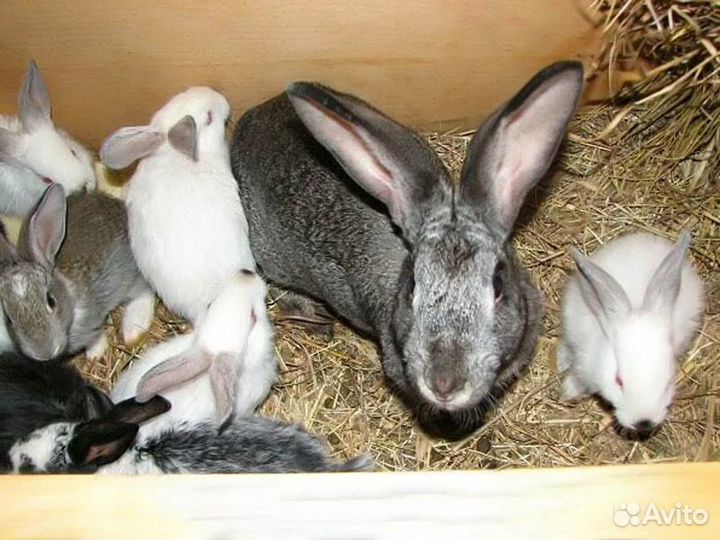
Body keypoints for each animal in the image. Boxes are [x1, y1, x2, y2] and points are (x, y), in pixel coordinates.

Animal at [0, 183, 155, 361]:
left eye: (51, 300)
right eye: (8, 319)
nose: (44, 354)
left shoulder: (93, 318)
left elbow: (95, 337)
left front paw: (95, 354)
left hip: (129, 276)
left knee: (145, 292)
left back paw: (133, 331)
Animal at [558, 231, 705, 438]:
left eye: (668, 382)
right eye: (618, 381)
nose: (644, 422)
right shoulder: (583, 363)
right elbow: (578, 379)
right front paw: (568, 392)